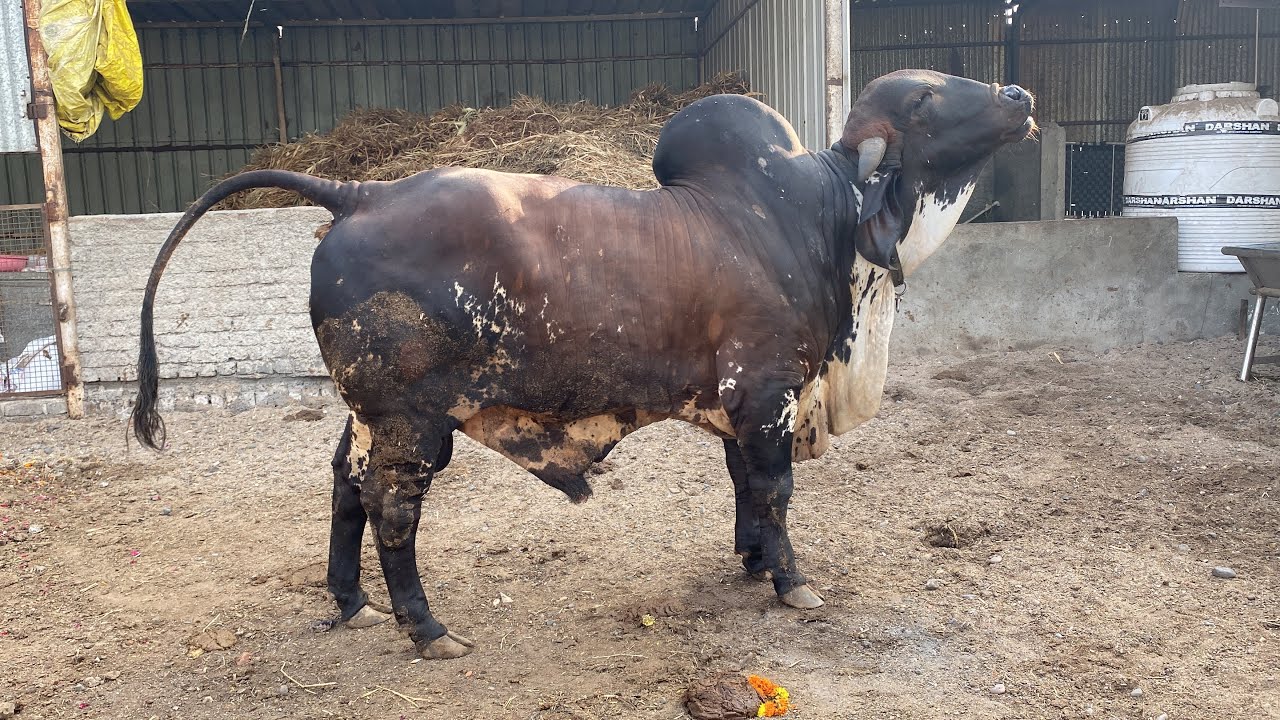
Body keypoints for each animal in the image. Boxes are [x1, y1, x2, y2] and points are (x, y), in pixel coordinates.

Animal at [130, 70, 1035, 660]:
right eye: (924, 97)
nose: (1020, 99)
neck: (819, 216)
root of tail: (363, 193)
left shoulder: (742, 402)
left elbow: (745, 485)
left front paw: (750, 561)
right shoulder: (769, 388)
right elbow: (775, 489)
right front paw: (791, 581)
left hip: (367, 415)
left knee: (345, 486)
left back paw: (352, 603)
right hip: (411, 421)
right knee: (392, 508)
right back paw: (427, 629)